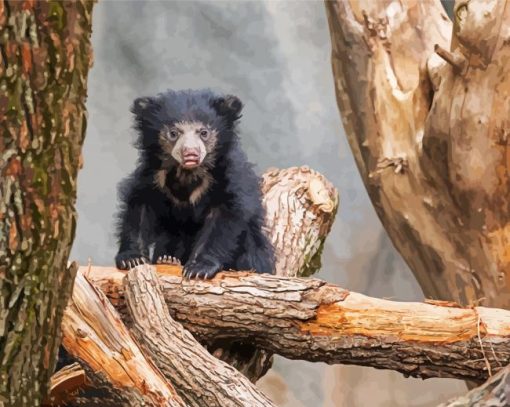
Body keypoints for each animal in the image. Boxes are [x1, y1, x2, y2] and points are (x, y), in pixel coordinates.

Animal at [114, 89, 274, 280]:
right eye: (173, 133)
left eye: (203, 133)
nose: (191, 153)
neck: (188, 172)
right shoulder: (152, 176)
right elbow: (140, 205)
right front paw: (132, 259)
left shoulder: (230, 179)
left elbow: (222, 221)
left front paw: (199, 268)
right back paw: (167, 259)